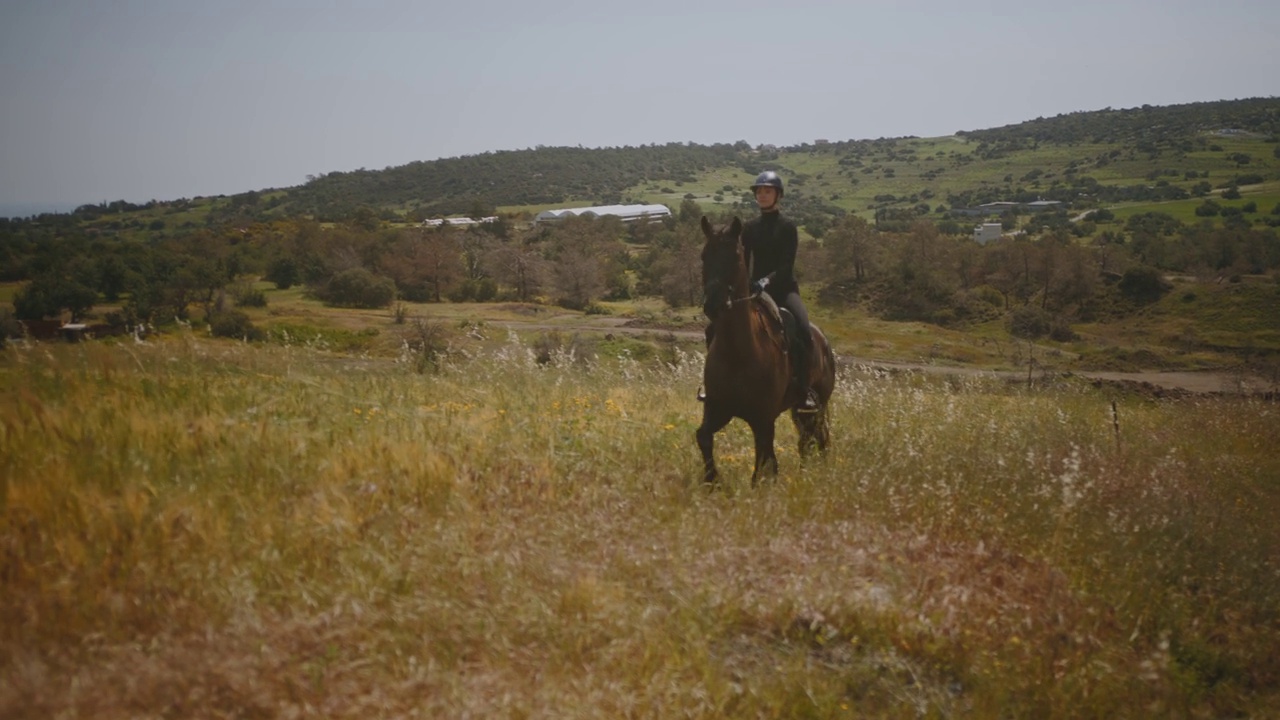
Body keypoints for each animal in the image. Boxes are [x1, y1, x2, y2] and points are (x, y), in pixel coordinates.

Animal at [696, 211, 834, 481]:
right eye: (704, 255)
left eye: (735, 256)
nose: (713, 304)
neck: (737, 352)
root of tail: (823, 341)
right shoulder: (718, 408)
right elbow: (703, 436)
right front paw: (712, 481)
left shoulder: (763, 418)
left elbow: (765, 463)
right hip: (799, 410)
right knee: (806, 441)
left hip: (818, 405)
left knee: (819, 438)